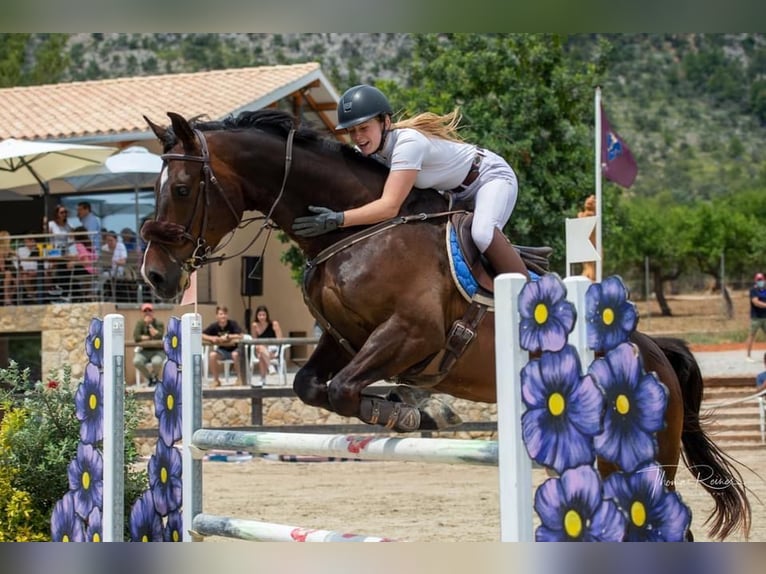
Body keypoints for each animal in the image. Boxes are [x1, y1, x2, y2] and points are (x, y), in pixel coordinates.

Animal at [140, 110, 750, 540]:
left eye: (183, 189)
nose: (155, 276)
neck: (354, 230)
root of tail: (656, 352)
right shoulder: (344, 340)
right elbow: (314, 386)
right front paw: (408, 406)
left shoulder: (414, 333)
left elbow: (343, 388)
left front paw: (411, 411)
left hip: (643, 461)